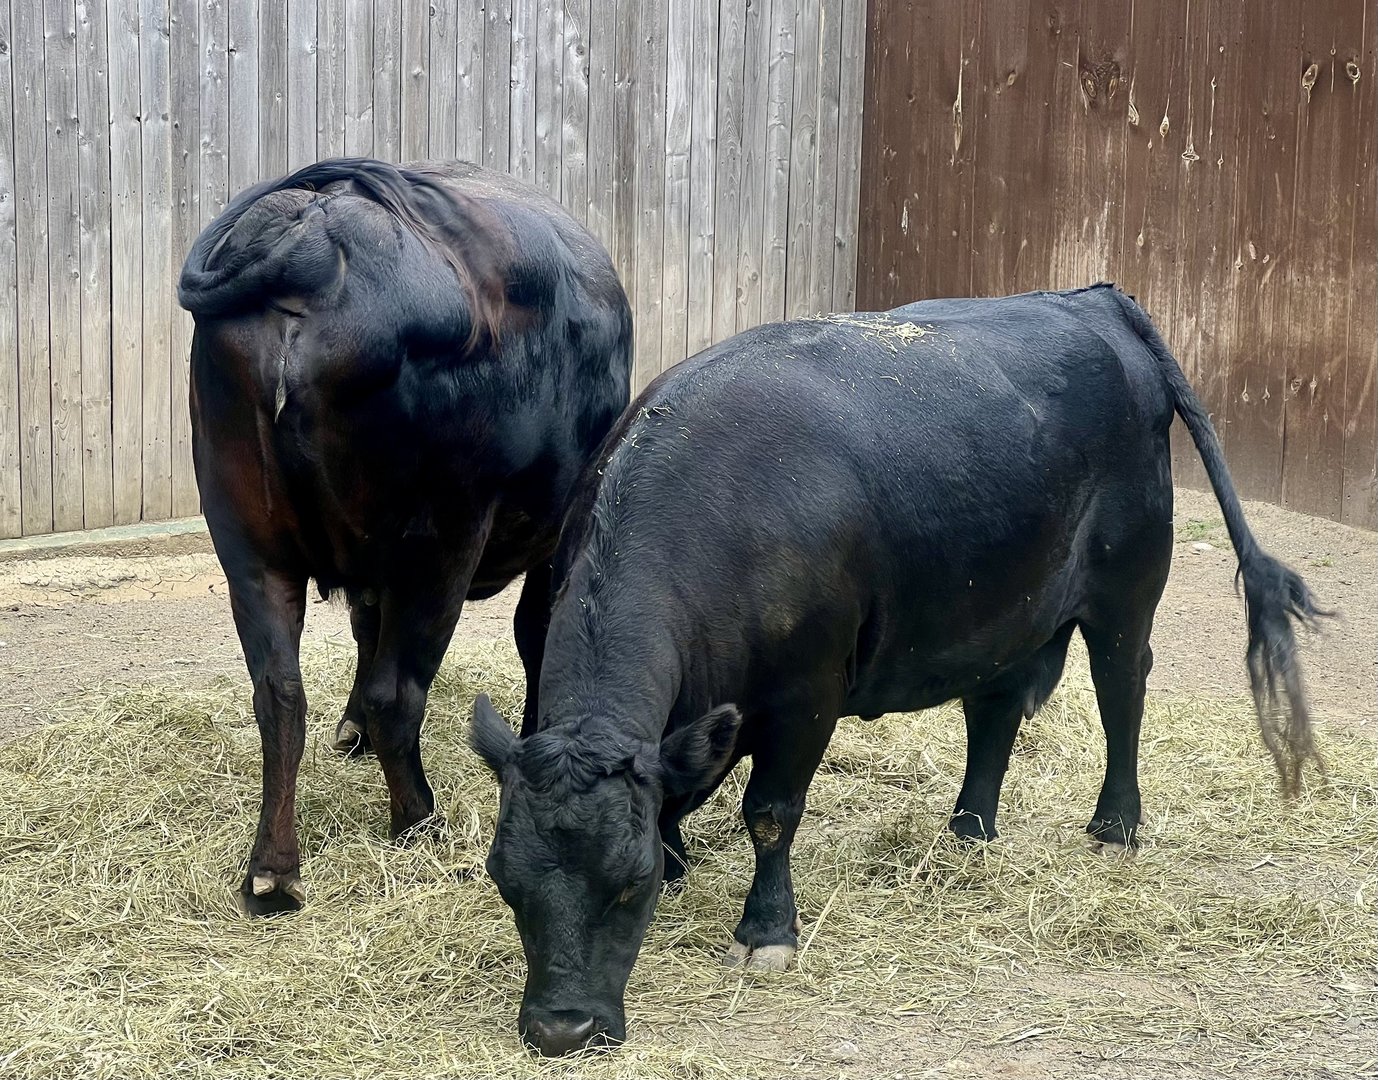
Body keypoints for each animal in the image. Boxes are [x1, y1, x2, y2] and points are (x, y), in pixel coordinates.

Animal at [178, 158, 632, 916]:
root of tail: (314, 239)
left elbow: (363, 633)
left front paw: (350, 730)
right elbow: (535, 634)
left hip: (249, 547)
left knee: (279, 698)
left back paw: (273, 869)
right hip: (439, 546)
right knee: (399, 694)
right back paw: (419, 819)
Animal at [469, 284, 1327, 1055]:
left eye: (630, 883)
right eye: (505, 881)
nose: (561, 1030)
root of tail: (1094, 298)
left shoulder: (806, 696)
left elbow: (770, 811)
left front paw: (765, 928)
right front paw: (685, 859)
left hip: (1127, 587)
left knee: (1122, 693)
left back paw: (1114, 826)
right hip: (1002, 608)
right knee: (995, 711)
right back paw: (968, 829)